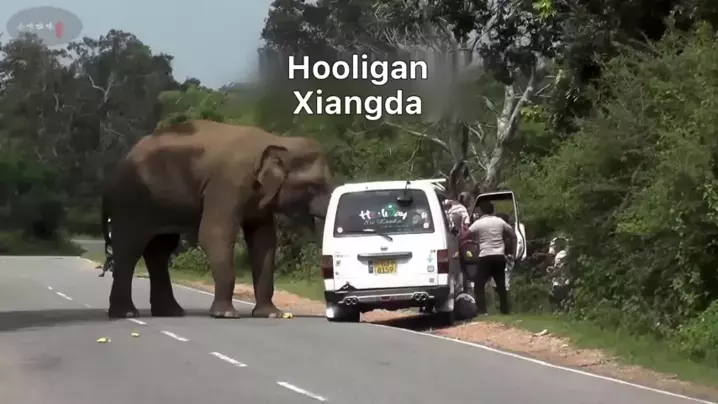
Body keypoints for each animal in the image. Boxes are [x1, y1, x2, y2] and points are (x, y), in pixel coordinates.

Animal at [101, 119, 333, 319]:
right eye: (314, 185)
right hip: (131, 200)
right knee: (130, 247)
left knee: (159, 250)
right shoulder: (228, 183)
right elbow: (214, 234)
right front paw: (226, 314)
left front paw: (270, 314)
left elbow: (263, 241)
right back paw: (127, 314)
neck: (277, 140)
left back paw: (170, 312)